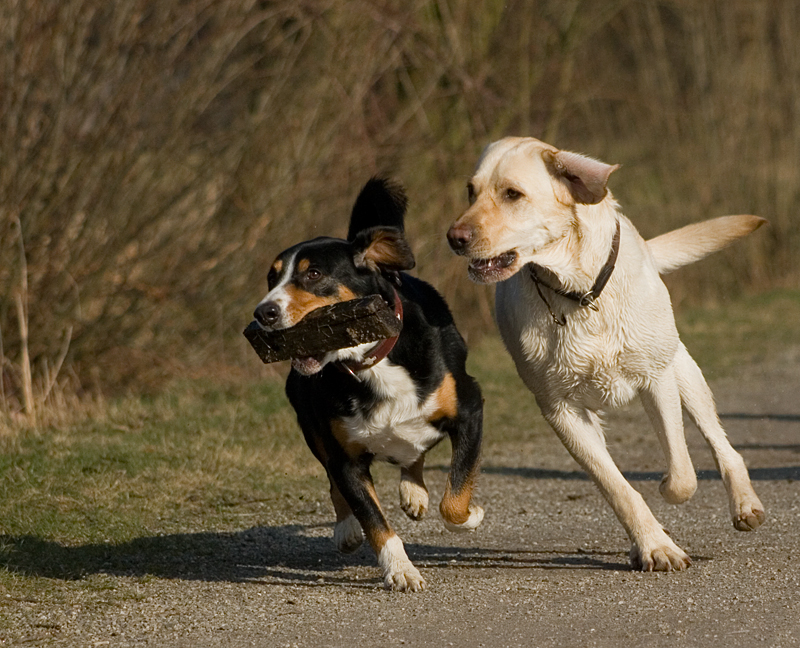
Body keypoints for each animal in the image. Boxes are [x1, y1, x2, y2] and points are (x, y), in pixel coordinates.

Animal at [253, 178, 484, 592]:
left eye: (314, 275)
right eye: (271, 278)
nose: (263, 313)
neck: (370, 363)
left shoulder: (470, 409)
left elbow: (455, 498)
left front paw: (470, 515)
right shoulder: (344, 456)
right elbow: (373, 518)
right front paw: (400, 569)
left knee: (414, 456)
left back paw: (414, 492)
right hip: (312, 429)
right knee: (335, 479)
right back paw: (348, 527)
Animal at [446, 135, 764, 568]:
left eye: (513, 194)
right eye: (470, 190)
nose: (454, 238)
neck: (578, 292)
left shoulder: (657, 379)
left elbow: (682, 473)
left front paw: (666, 489)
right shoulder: (560, 411)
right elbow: (617, 487)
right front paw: (655, 545)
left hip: (685, 372)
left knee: (722, 445)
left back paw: (745, 504)